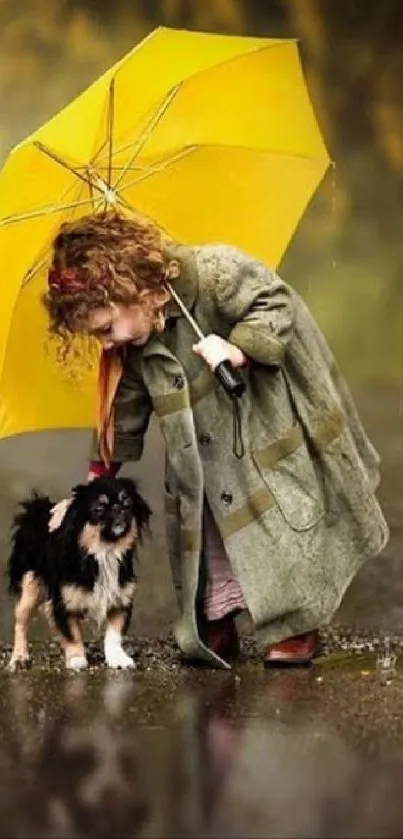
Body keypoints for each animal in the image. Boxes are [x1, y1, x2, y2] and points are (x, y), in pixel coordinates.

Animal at [6, 476, 152, 672]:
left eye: (127, 502)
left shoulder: (120, 601)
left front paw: (117, 658)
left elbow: (113, 634)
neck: (105, 553)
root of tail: (36, 509)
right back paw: (20, 657)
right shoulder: (63, 604)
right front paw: (76, 658)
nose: (118, 507)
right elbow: (73, 634)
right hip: (30, 587)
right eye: (98, 509)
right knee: (21, 621)